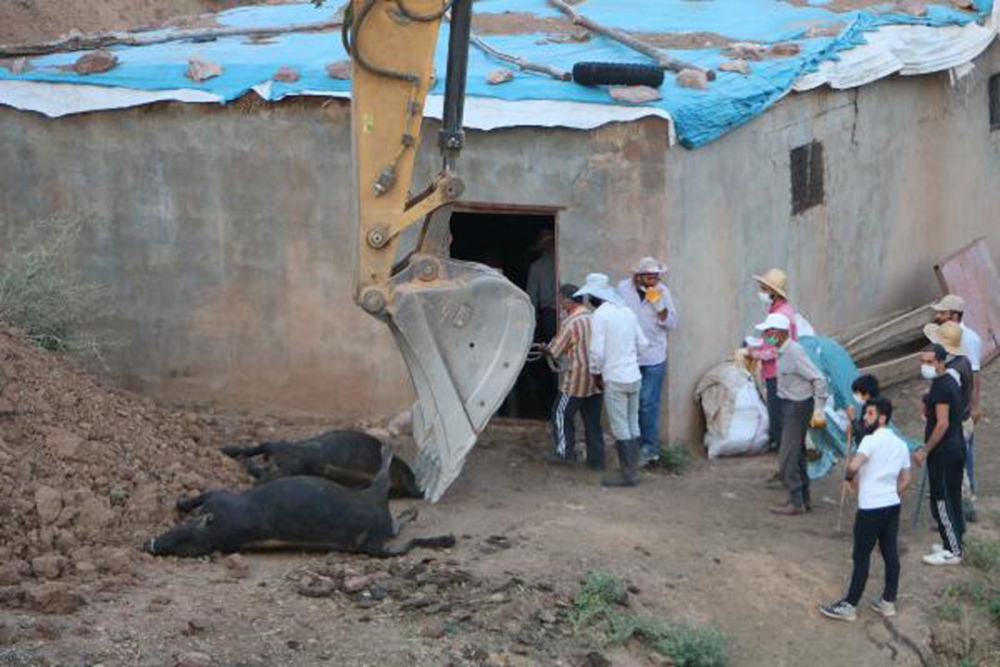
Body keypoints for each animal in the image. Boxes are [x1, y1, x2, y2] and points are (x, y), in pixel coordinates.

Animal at [145, 448, 454, 560]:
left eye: (184, 538)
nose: (150, 544)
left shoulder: (222, 500)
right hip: (374, 535)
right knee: (396, 535)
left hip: (373, 525)